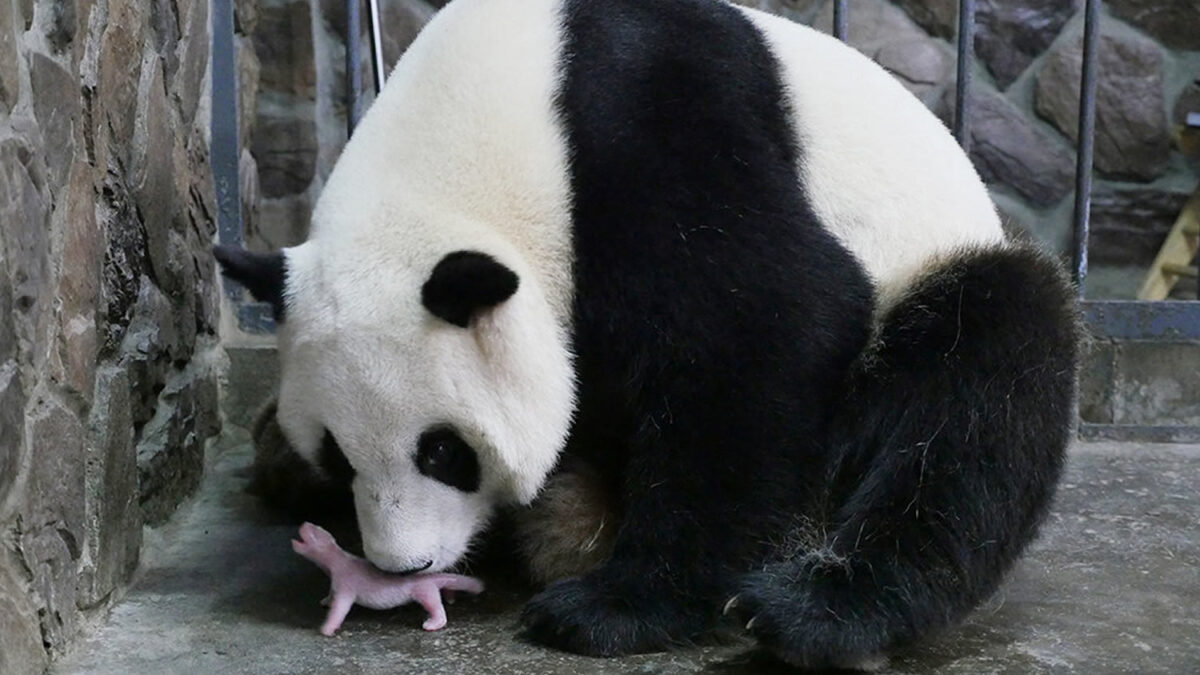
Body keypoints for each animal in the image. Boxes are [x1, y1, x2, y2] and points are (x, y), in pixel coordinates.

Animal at [213, 0, 1080, 662]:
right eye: (338, 453)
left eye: (444, 451)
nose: (404, 563)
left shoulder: (644, 127)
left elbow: (771, 325)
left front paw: (614, 608)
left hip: (935, 276)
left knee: (980, 386)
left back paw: (817, 609)